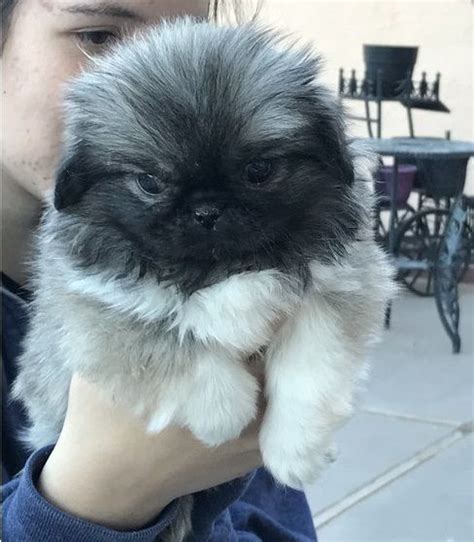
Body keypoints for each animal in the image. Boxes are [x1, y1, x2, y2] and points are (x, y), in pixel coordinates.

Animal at [12, 15, 394, 540]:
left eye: (259, 170)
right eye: (150, 182)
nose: (207, 210)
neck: (218, 267)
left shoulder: (338, 287)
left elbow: (310, 369)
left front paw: (296, 451)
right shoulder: (85, 309)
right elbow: (162, 337)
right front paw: (223, 411)